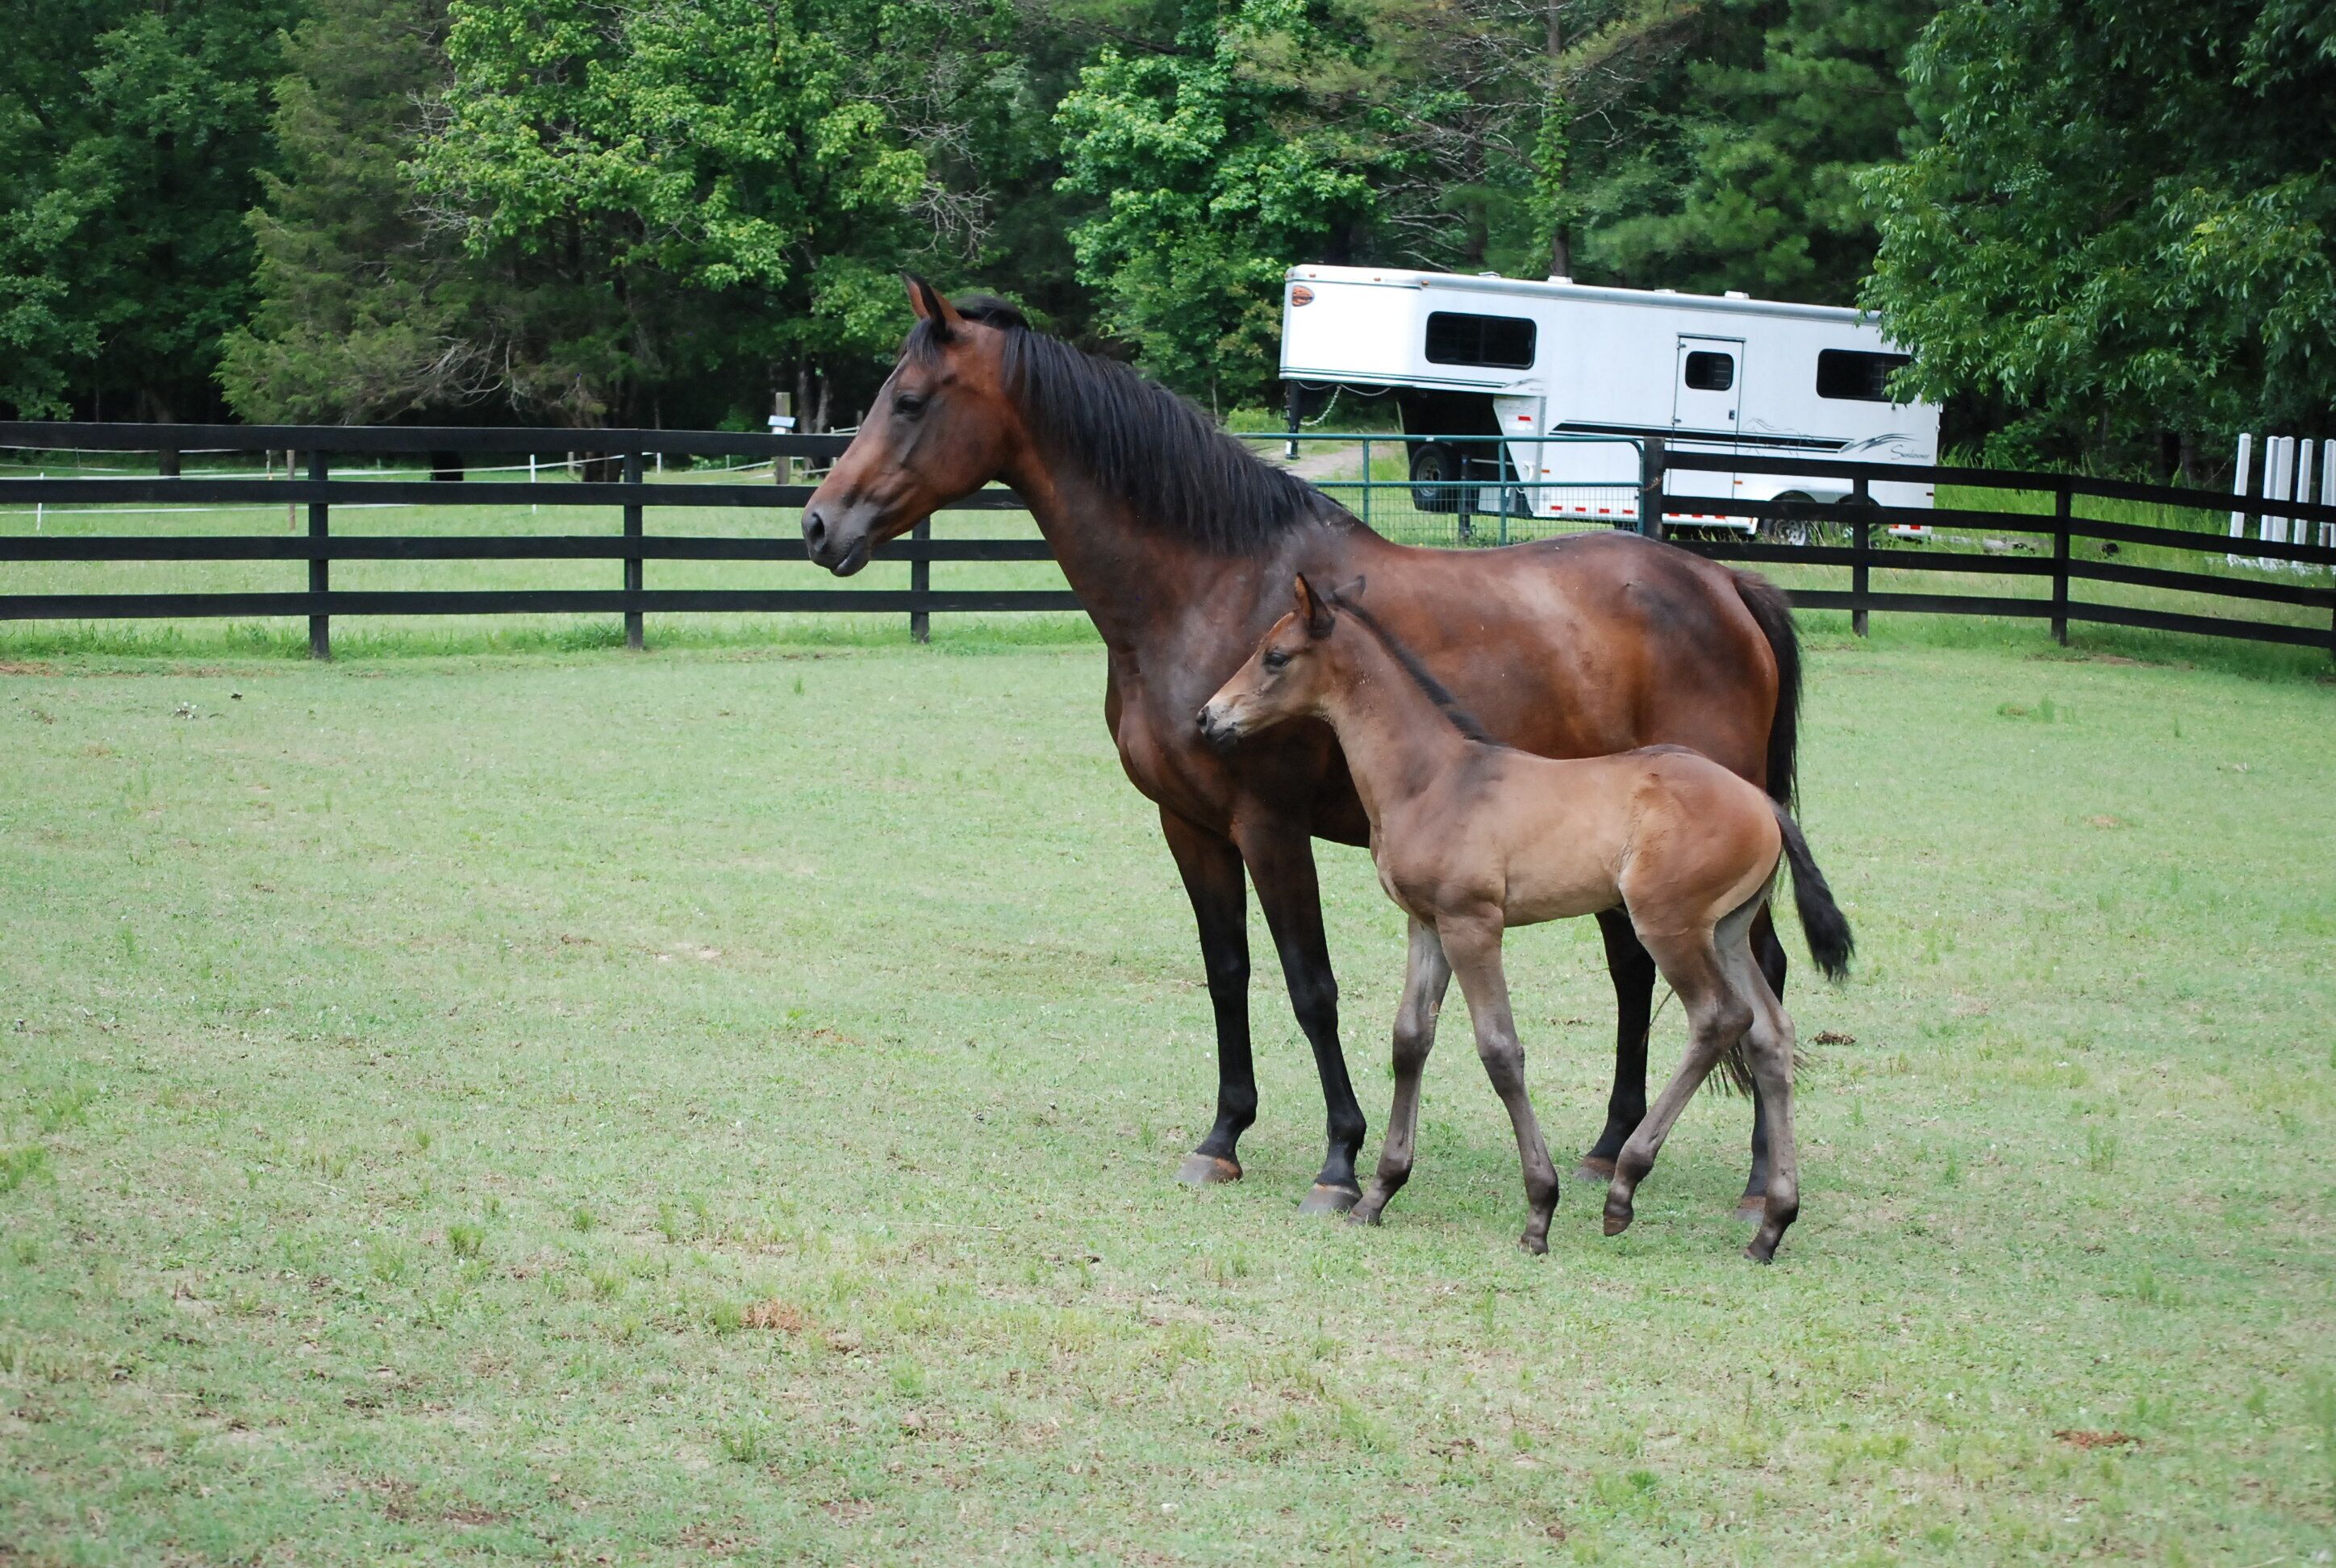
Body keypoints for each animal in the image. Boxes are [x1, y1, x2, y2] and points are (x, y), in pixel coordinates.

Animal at [801, 274, 1806, 1217]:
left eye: (909, 401)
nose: (817, 524)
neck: (1210, 586)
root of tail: (1725, 584)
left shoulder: (1270, 826)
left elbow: (1309, 986)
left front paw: (1338, 1161)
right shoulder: (1190, 827)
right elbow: (1228, 975)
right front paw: (1221, 1138)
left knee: (1759, 980)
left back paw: (1760, 1181)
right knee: (1640, 975)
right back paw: (1608, 1148)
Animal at [1200, 575, 1852, 1260]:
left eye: (1275, 656)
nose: (1208, 718)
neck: (1435, 779)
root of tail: (1763, 803)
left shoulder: (1473, 925)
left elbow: (1500, 1051)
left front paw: (1540, 1209)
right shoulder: (1427, 925)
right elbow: (1410, 1041)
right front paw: (1378, 1193)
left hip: (1668, 927)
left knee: (1719, 1019)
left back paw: (1625, 1186)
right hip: (1725, 933)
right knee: (1770, 1036)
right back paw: (1772, 1223)